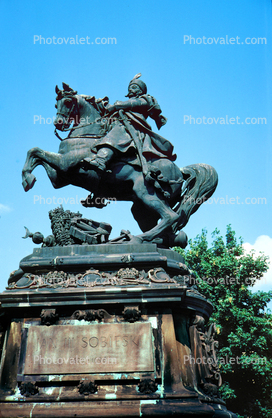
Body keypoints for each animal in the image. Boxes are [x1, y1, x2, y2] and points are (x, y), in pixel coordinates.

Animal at [21, 82, 219, 245]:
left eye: (68, 102)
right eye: (56, 104)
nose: (59, 123)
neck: (87, 134)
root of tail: (181, 172)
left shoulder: (64, 163)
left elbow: (35, 151)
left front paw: (27, 179)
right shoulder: (60, 178)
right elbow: (36, 156)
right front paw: (28, 178)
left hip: (147, 194)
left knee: (171, 217)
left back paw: (136, 239)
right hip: (140, 209)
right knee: (169, 231)